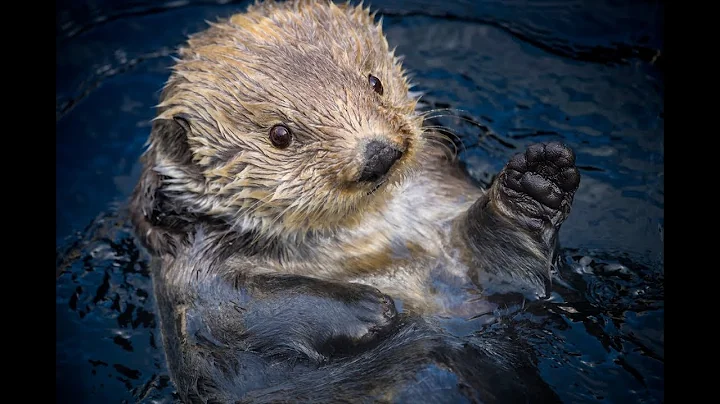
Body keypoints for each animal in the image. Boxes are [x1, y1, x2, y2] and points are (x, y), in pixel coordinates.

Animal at [129, 0, 580, 400]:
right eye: (280, 134)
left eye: (375, 82)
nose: (378, 153)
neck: (363, 232)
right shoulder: (191, 266)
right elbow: (233, 306)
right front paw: (371, 309)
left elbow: (507, 275)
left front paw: (539, 180)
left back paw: (532, 189)